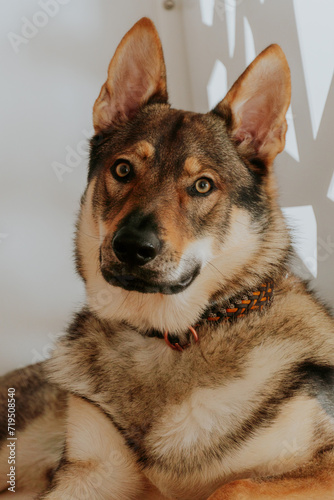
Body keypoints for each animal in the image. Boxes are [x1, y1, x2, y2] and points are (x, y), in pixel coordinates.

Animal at [1, 15, 334, 500]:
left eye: (202, 186)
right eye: (123, 170)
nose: (132, 247)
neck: (167, 338)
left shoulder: (319, 464)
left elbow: (231, 486)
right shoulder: (86, 474)